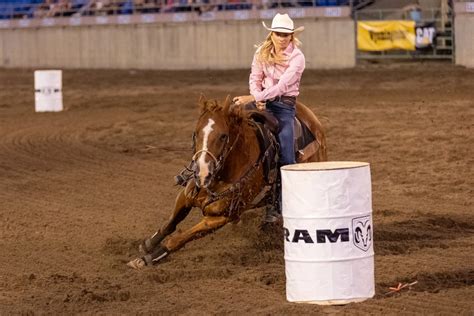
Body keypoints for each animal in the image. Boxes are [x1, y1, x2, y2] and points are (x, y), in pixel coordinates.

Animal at [126, 94, 326, 270]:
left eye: (223, 136)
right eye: (195, 133)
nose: (202, 172)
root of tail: (314, 122)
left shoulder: (219, 218)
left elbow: (178, 239)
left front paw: (148, 258)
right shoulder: (186, 195)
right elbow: (170, 223)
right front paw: (148, 244)